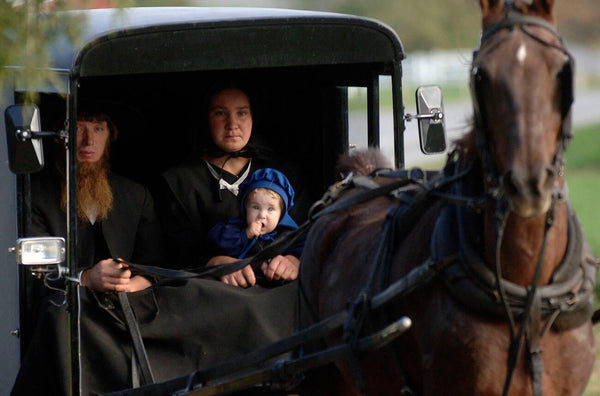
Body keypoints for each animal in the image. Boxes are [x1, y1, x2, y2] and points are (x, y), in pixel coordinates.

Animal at [298, 0, 596, 396]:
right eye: (480, 76)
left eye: (563, 71)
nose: (528, 183)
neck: (525, 296)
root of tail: (353, 180)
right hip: (326, 373)